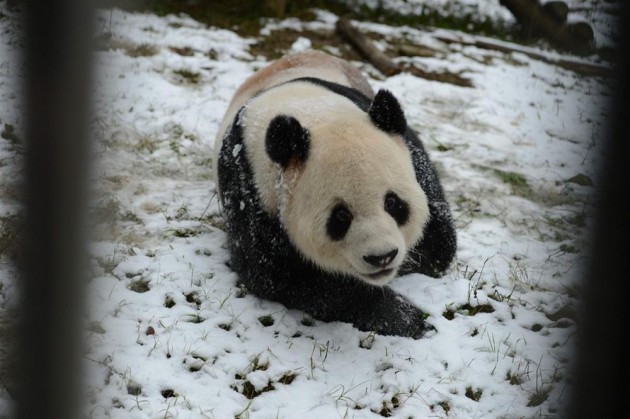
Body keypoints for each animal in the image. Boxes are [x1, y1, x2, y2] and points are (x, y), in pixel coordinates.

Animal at [215, 50, 456, 338]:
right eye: (341, 216)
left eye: (393, 203)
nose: (382, 257)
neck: (311, 111)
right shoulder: (249, 188)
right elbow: (280, 274)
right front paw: (404, 317)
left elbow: (439, 243)